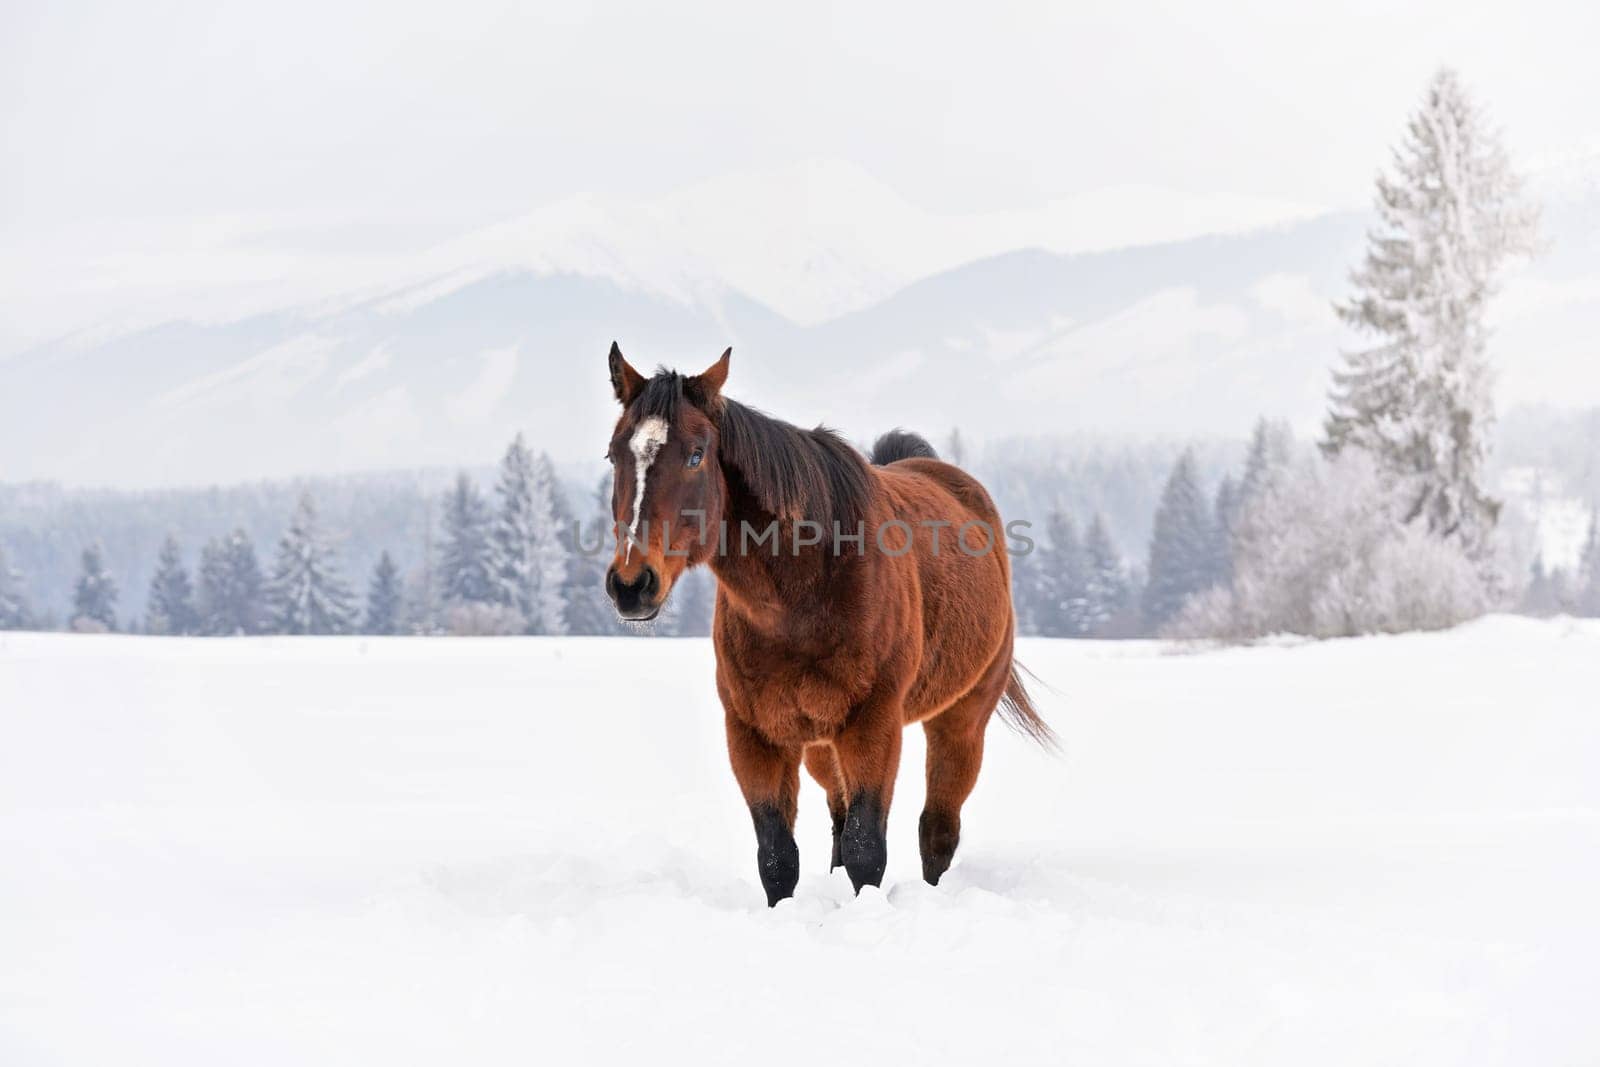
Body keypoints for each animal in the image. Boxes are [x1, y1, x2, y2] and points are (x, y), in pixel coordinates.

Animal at [601, 343, 1049, 908]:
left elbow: (866, 848)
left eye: (696, 453)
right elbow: (778, 856)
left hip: (961, 721)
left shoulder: (873, 726)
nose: (631, 584)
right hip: (821, 746)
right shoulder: (755, 734)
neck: (804, 593)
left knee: (937, 829)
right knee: (839, 819)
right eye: (613, 454)